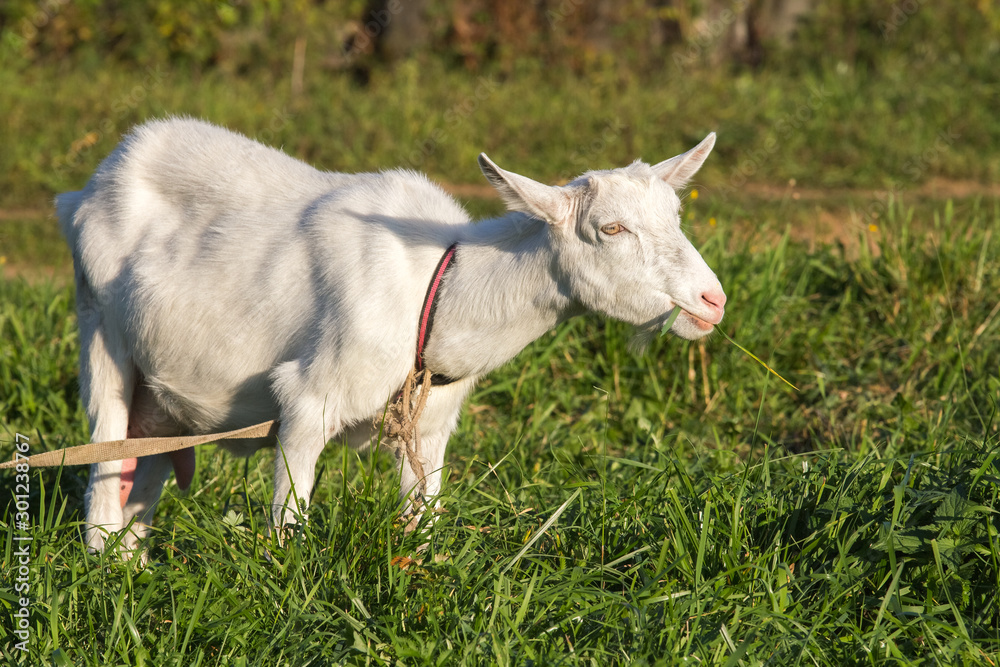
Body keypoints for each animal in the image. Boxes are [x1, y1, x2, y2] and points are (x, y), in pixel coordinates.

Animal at [56, 118, 726, 552]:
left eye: (675, 216)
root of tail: (85, 189)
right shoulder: (309, 399)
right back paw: (103, 567)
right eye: (611, 228)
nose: (712, 301)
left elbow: (423, 521)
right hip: (101, 330)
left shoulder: (429, 426)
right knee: (104, 459)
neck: (437, 290)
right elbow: (288, 519)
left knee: (143, 466)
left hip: (161, 398)